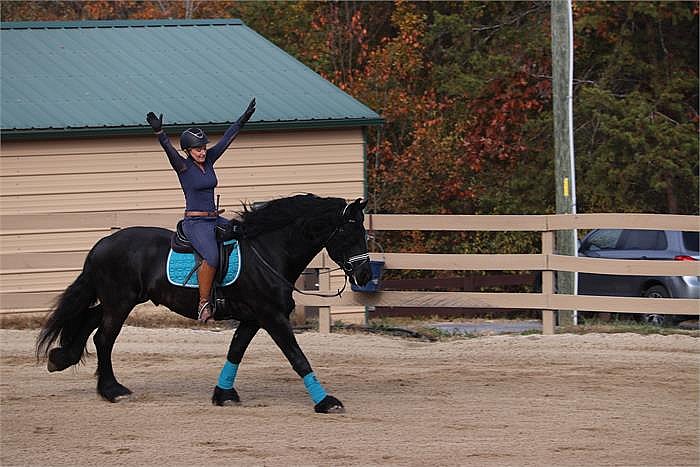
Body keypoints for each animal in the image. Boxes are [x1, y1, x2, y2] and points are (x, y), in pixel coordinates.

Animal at [37, 194, 372, 414]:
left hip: (120, 300)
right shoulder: (271, 316)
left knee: (89, 319)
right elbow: (297, 357)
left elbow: (235, 351)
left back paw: (62, 357)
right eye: (348, 231)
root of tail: (101, 245)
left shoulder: (253, 318)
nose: (365, 275)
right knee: (104, 339)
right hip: (120, 302)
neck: (268, 251)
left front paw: (223, 394)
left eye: (364, 232)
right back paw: (112, 391)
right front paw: (326, 401)